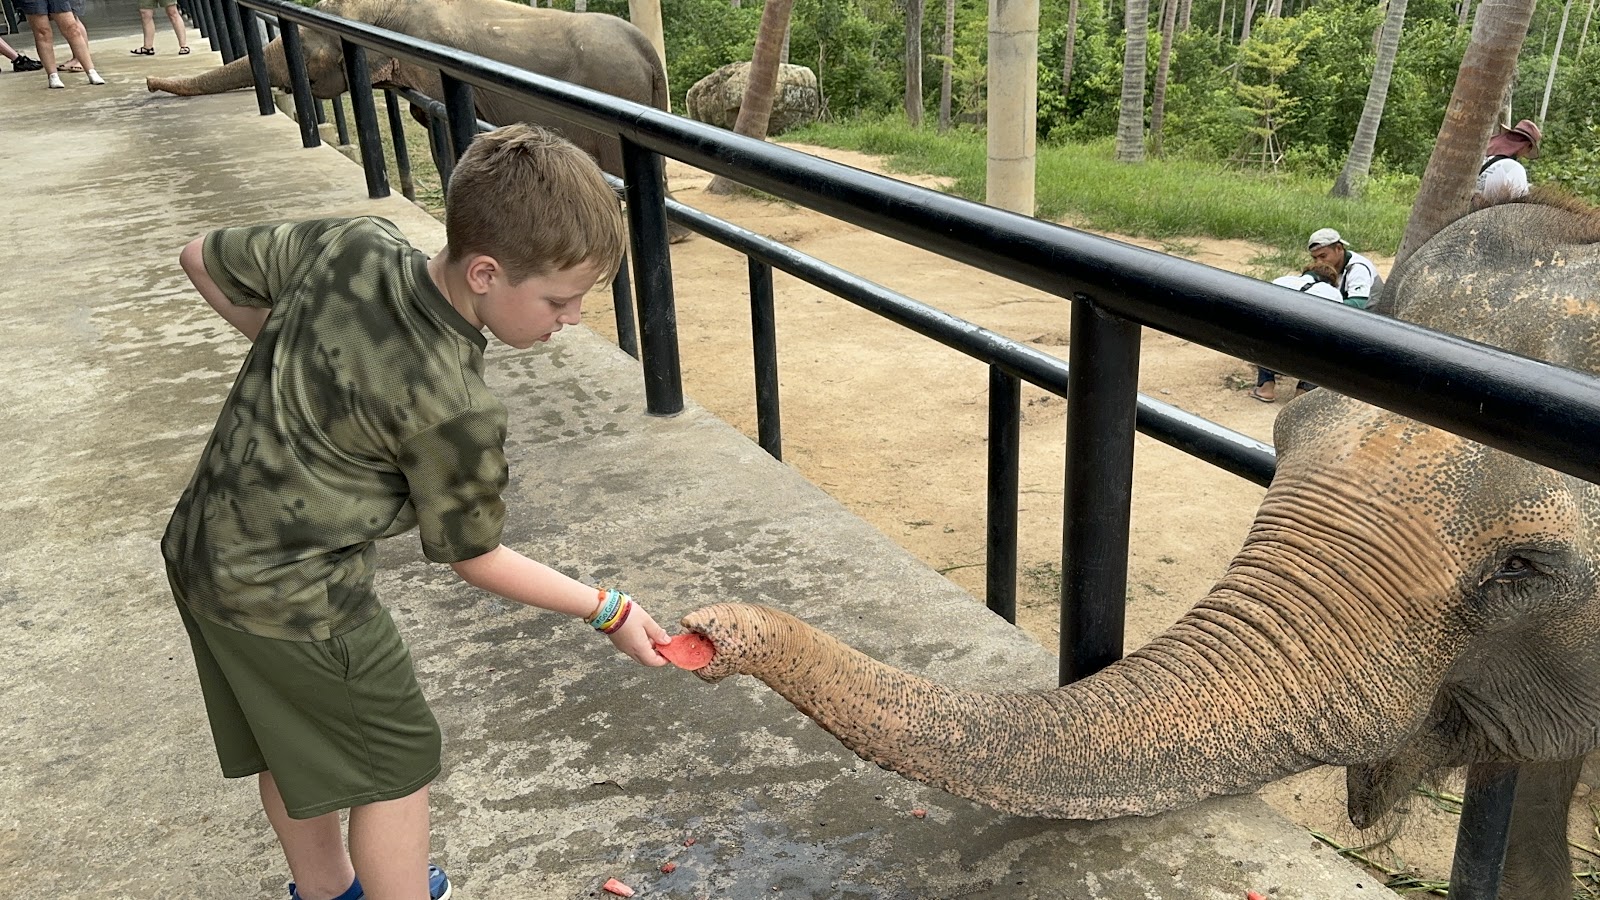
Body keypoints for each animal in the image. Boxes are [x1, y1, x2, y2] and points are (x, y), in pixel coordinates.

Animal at [148, 0, 690, 240]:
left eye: (306, 52)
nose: (150, 83)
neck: (377, 8)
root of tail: (647, 51)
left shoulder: (432, 69)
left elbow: (444, 130)